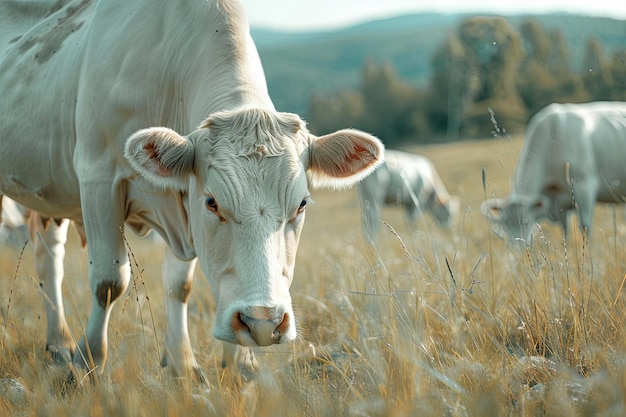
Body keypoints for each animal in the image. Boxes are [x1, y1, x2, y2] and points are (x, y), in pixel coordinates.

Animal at [0, 0, 382, 382]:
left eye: (301, 204)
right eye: (212, 202)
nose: (261, 322)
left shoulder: (182, 207)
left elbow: (178, 285)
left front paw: (191, 363)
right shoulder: (97, 176)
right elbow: (108, 281)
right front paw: (88, 362)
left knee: (49, 257)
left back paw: (59, 343)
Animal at [480, 101, 624, 244]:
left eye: (526, 221)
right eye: (504, 224)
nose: (518, 246)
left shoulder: (585, 186)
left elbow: (585, 227)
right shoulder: (560, 207)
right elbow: (565, 233)